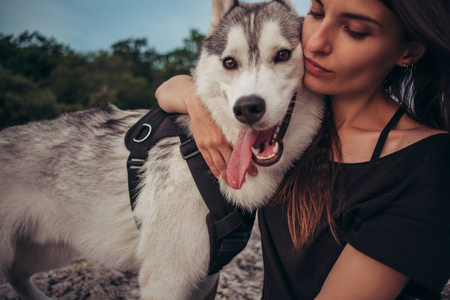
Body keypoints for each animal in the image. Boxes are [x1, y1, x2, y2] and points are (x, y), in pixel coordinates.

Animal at [0, 0, 324, 300]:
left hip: (48, 250)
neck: (202, 159)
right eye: (230, 63)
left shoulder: (203, 277)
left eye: (282, 55)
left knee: (17, 275)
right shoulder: (166, 279)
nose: (247, 108)